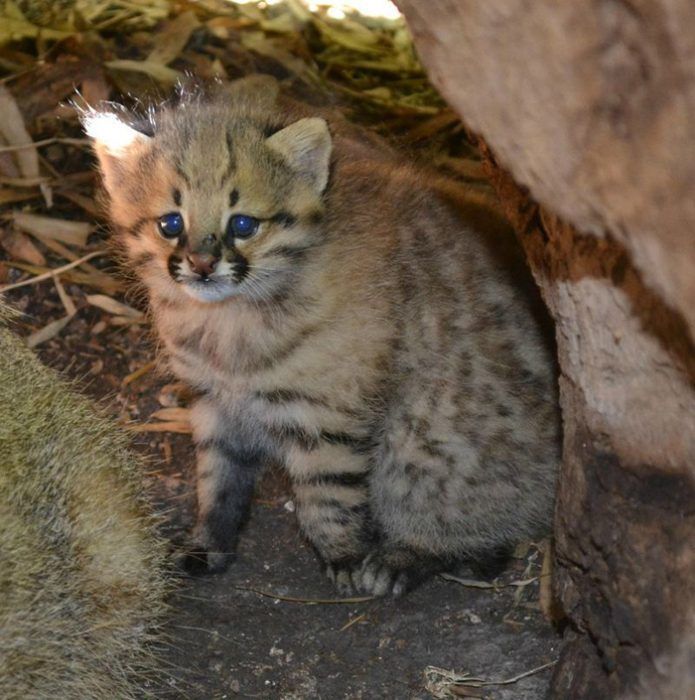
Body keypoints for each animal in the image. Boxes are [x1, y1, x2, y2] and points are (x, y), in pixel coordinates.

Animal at [84, 78, 560, 596]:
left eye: (243, 224)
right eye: (171, 223)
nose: (203, 266)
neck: (230, 321)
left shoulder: (326, 414)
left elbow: (325, 496)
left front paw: (345, 557)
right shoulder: (215, 404)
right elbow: (217, 481)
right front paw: (207, 543)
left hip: (423, 446)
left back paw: (409, 557)